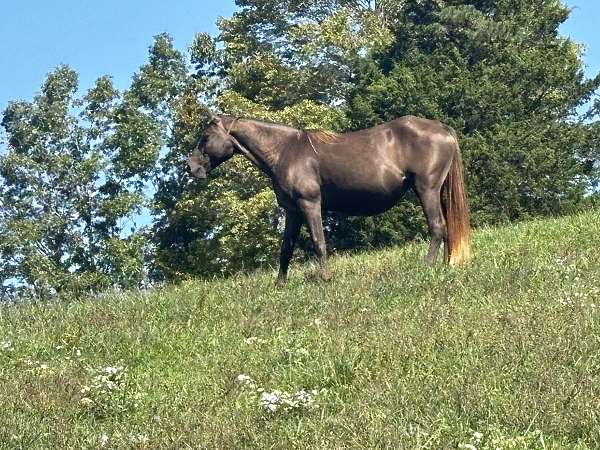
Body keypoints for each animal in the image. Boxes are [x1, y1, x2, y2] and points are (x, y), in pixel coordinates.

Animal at [185, 114, 472, 286]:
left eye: (205, 137)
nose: (190, 167)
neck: (285, 152)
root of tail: (442, 129)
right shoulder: (292, 211)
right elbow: (286, 248)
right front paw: (279, 285)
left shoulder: (309, 204)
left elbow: (318, 242)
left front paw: (325, 278)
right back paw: (448, 263)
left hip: (427, 189)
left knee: (437, 227)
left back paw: (427, 266)